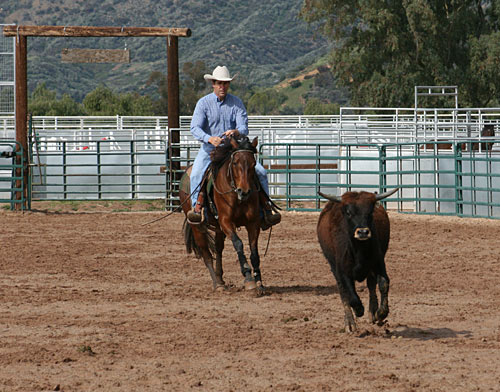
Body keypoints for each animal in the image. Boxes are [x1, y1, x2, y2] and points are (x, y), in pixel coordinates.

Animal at [181, 135, 266, 290]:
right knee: (206, 253)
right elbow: (238, 243)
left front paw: (259, 281)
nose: (244, 191)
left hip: (218, 228)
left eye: (253, 163)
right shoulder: (226, 221)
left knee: (219, 249)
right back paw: (217, 284)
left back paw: (220, 279)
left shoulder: (253, 223)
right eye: (235, 163)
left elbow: (254, 251)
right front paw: (248, 278)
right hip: (197, 226)